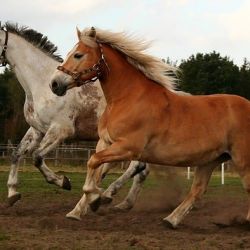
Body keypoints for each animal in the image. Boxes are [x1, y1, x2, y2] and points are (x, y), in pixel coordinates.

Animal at [50, 27, 248, 229]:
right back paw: (171, 220)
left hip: (241, 160)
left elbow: (93, 163)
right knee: (197, 190)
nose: (55, 83)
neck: (127, 98)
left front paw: (96, 198)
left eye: (78, 55)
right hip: (210, 161)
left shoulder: (128, 147)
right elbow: (96, 168)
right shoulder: (105, 143)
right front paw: (79, 210)